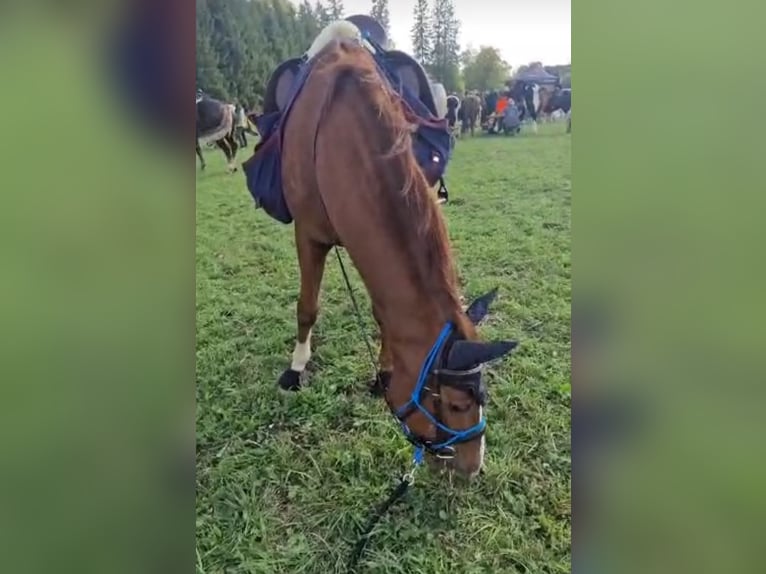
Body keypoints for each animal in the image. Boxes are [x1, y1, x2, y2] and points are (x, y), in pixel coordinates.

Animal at [274, 41, 516, 482]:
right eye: (456, 404)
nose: (472, 468)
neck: (336, 138)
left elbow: (382, 315)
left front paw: (383, 373)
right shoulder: (308, 235)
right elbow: (307, 307)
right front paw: (296, 368)